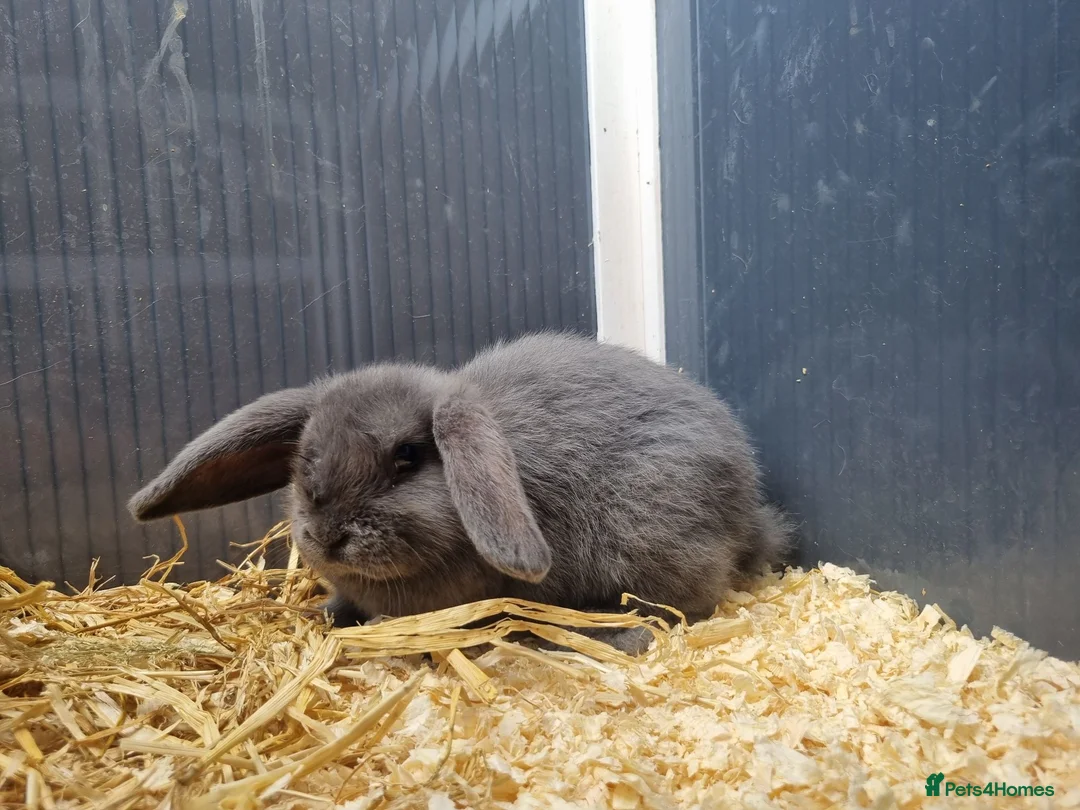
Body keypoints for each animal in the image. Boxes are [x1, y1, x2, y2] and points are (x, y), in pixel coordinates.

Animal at [128, 331, 791, 655]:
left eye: (406, 458)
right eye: (304, 464)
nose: (328, 536)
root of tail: (751, 513)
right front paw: (329, 614)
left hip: (654, 544)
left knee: (675, 610)